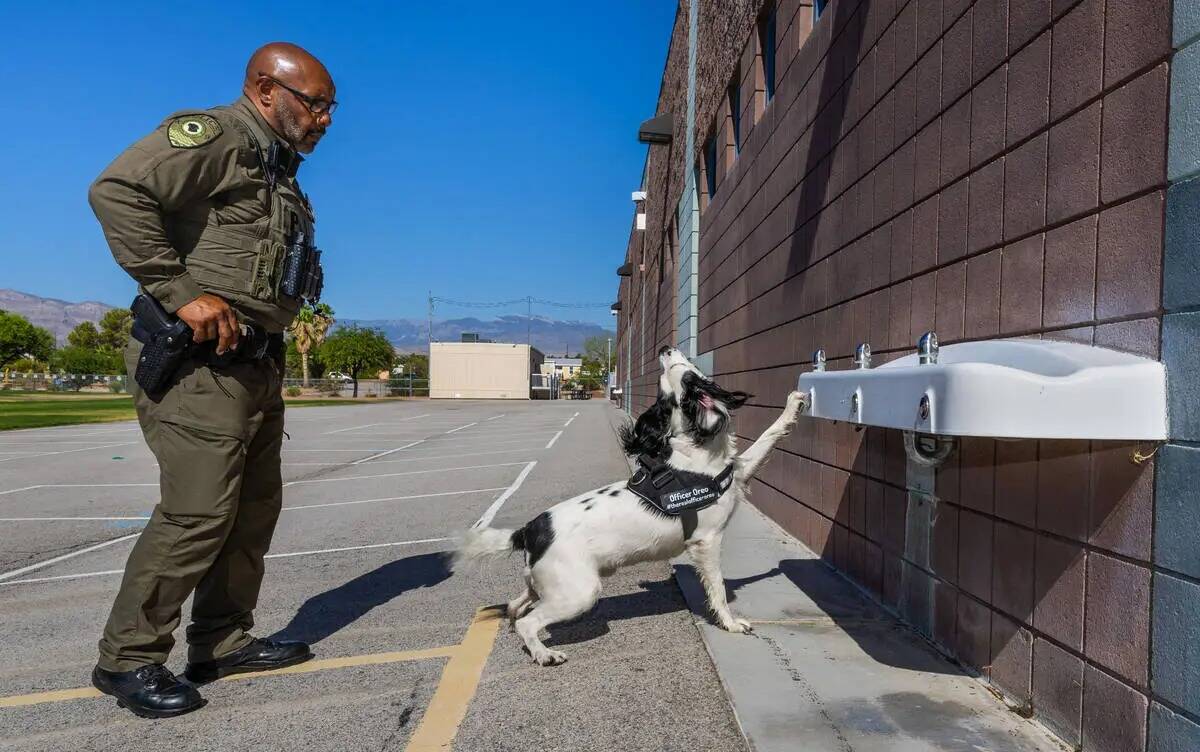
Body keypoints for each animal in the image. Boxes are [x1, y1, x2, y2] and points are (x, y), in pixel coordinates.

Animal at [453, 347, 811, 666]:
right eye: (684, 373)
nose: (665, 347)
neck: (698, 450)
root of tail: (530, 529)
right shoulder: (706, 541)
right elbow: (719, 589)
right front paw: (731, 623)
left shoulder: (739, 471)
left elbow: (768, 436)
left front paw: (794, 404)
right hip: (580, 592)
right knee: (528, 621)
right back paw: (544, 654)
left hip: (545, 584)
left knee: (517, 607)